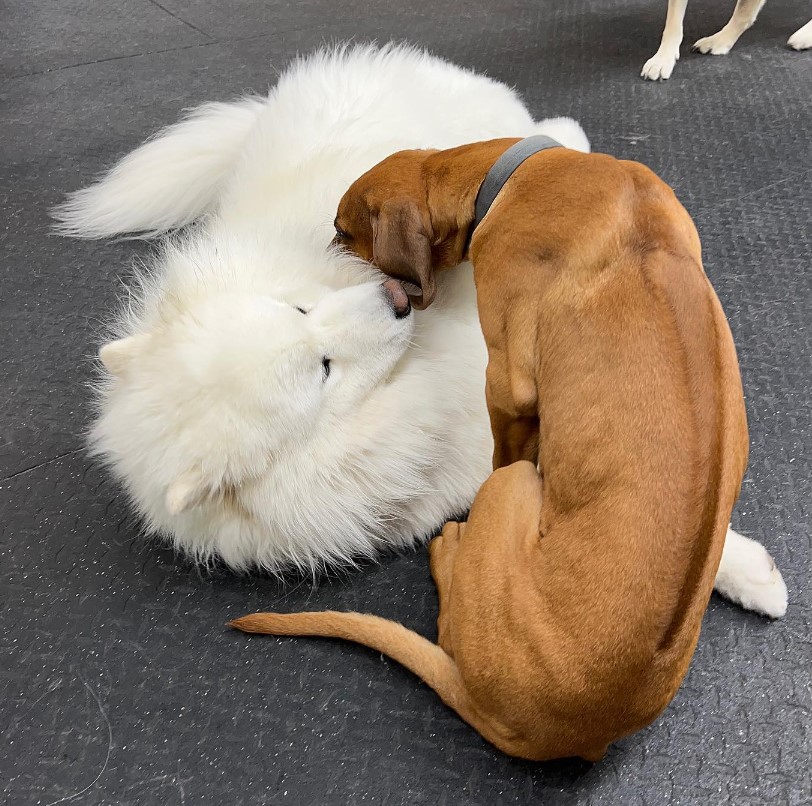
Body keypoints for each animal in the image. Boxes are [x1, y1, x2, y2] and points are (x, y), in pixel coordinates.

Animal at [230, 140, 748, 764]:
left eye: (342, 230)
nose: (328, 260)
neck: (507, 172)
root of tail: (573, 732)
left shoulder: (504, 382)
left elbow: (503, 436)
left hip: (513, 484)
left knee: (455, 602)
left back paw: (451, 548)